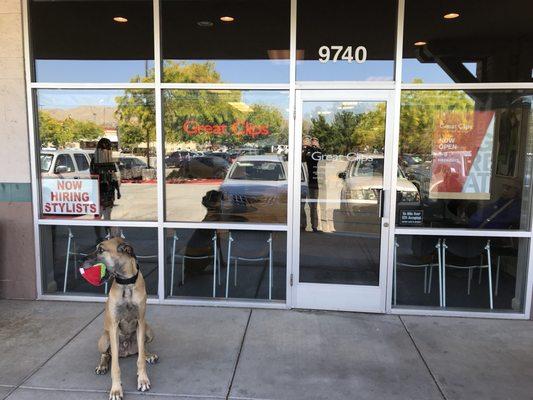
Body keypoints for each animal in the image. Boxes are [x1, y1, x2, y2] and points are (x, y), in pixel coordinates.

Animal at [92, 239, 158, 398]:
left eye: (101, 249)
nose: (82, 258)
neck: (126, 283)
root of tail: (127, 351)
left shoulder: (141, 322)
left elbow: (140, 360)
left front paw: (143, 380)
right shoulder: (114, 326)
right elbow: (115, 366)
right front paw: (116, 389)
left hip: (149, 331)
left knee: (142, 349)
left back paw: (148, 355)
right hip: (104, 339)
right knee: (106, 354)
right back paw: (102, 366)